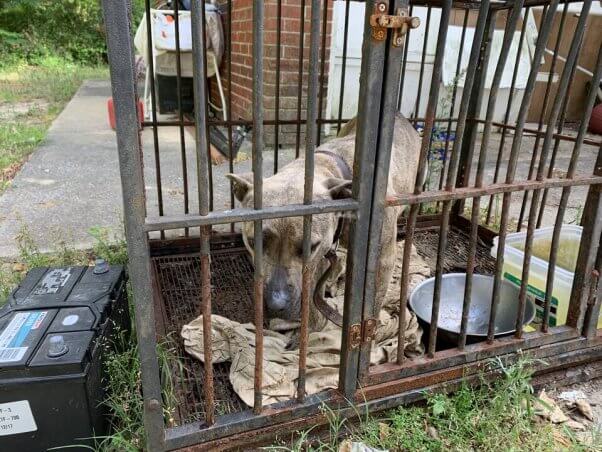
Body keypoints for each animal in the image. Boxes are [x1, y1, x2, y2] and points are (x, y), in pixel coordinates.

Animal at [227, 114, 420, 332]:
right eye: (253, 242)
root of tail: (399, 115)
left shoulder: (381, 260)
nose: (275, 305)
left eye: (309, 247)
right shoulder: (316, 260)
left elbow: (373, 305)